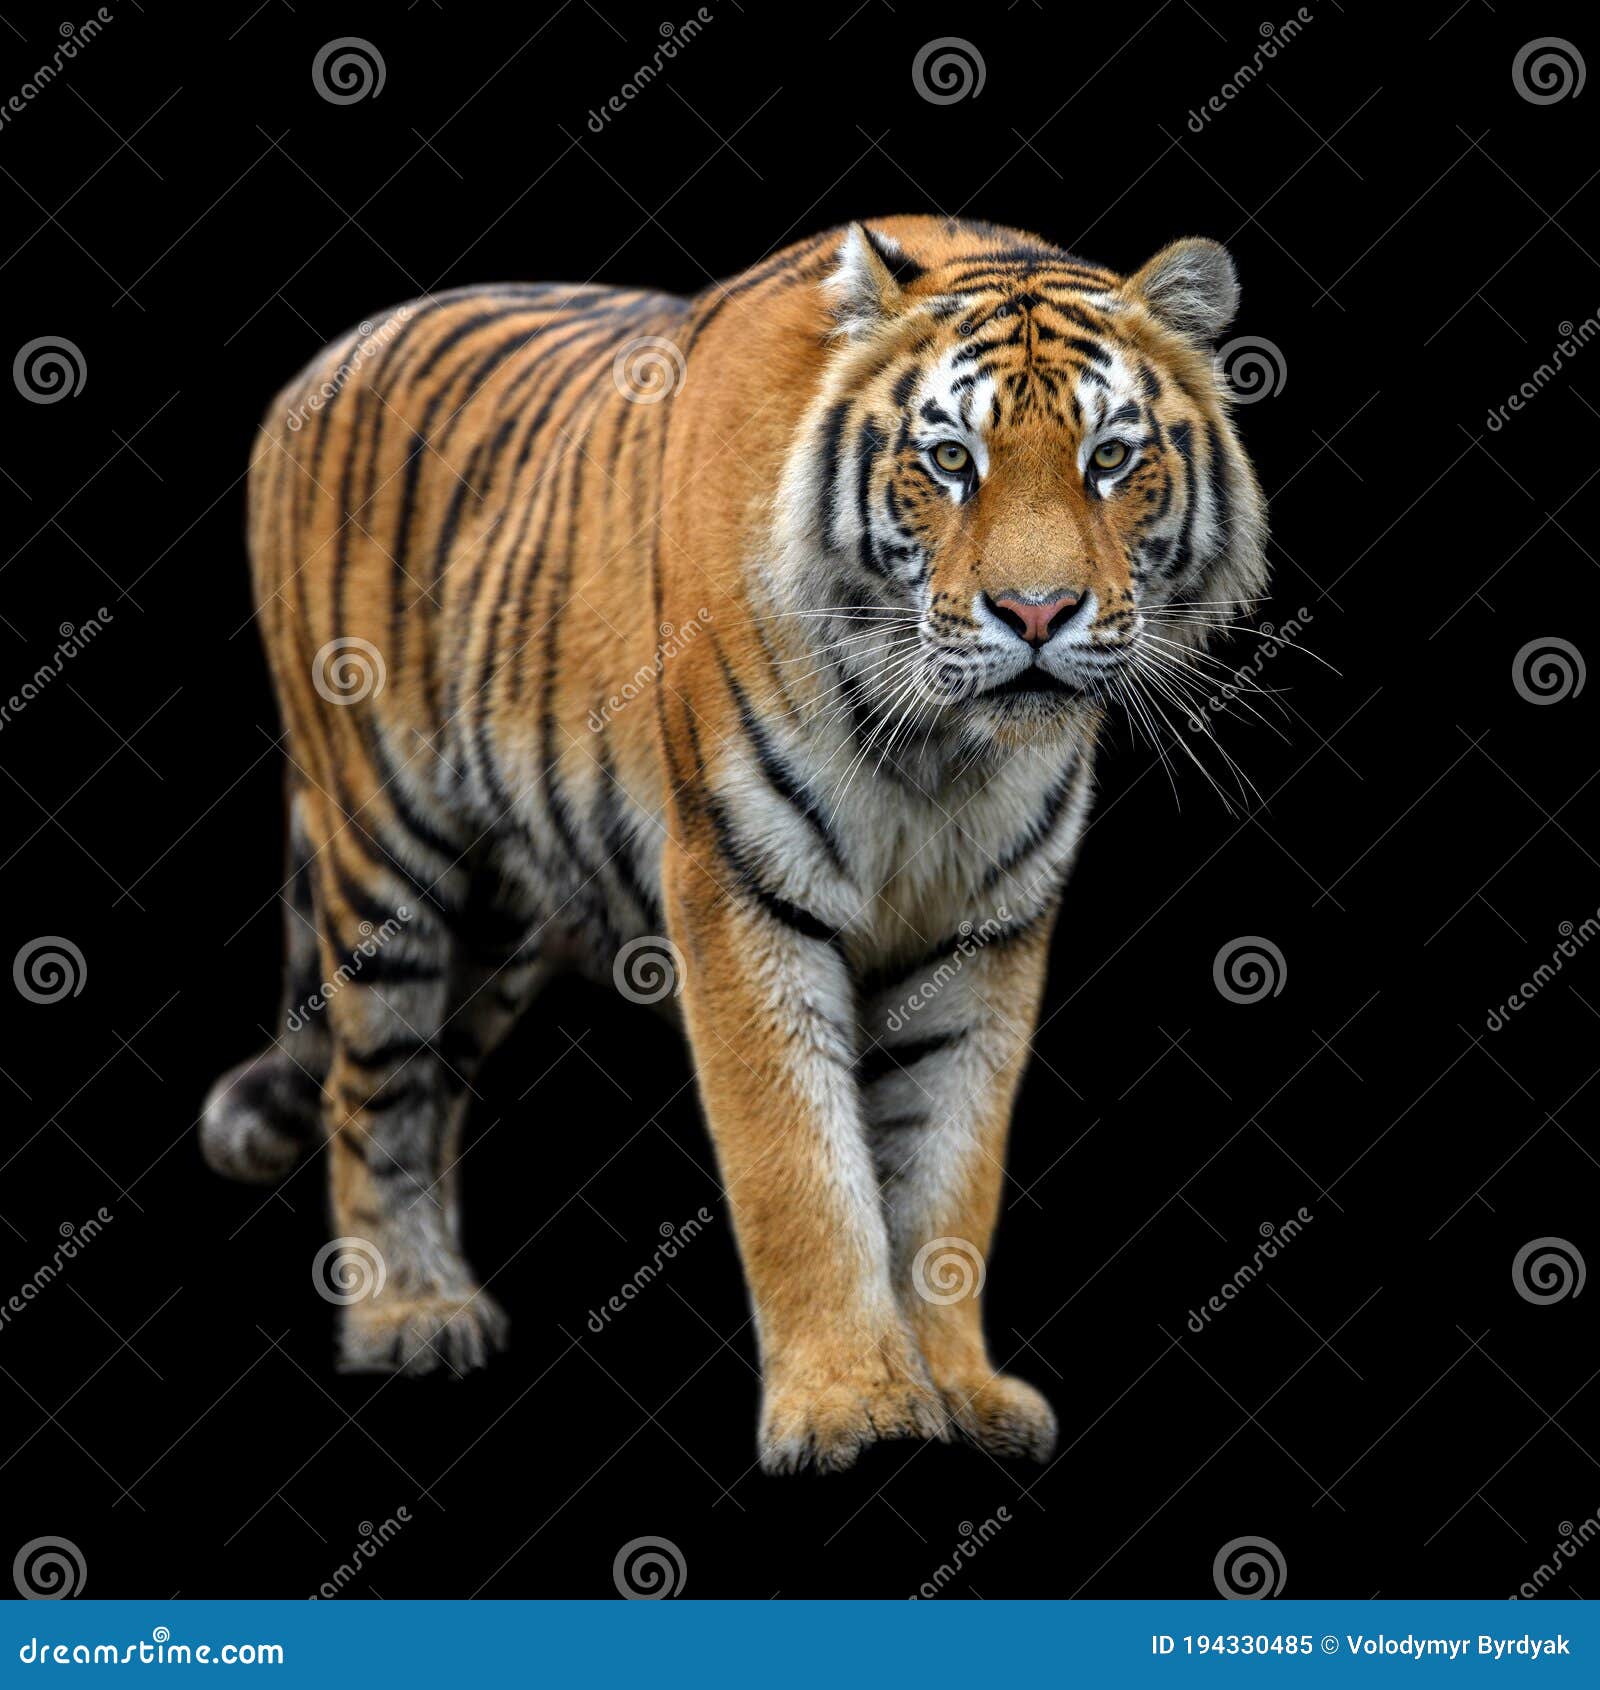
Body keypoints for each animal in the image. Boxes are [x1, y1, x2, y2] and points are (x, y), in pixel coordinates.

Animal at [200, 218, 1270, 1473]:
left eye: (1109, 457)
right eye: (949, 458)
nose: (1038, 613)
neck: (942, 754)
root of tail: (324, 362)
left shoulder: (986, 933)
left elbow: (948, 1171)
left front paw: (958, 1391)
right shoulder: (741, 886)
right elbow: (797, 1166)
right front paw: (853, 1405)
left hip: (502, 912)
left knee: (437, 1078)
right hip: (386, 851)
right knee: (374, 1090)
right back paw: (408, 1316)